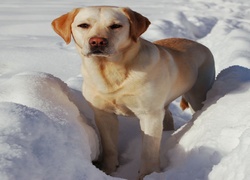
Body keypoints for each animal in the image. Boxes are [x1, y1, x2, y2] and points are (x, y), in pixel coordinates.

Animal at [51, 6, 215, 179]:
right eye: (83, 25)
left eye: (116, 26)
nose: (97, 41)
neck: (111, 71)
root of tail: (200, 45)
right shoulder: (104, 114)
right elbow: (109, 146)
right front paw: (109, 170)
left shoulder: (149, 115)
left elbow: (149, 152)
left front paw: (148, 175)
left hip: (197, 95)